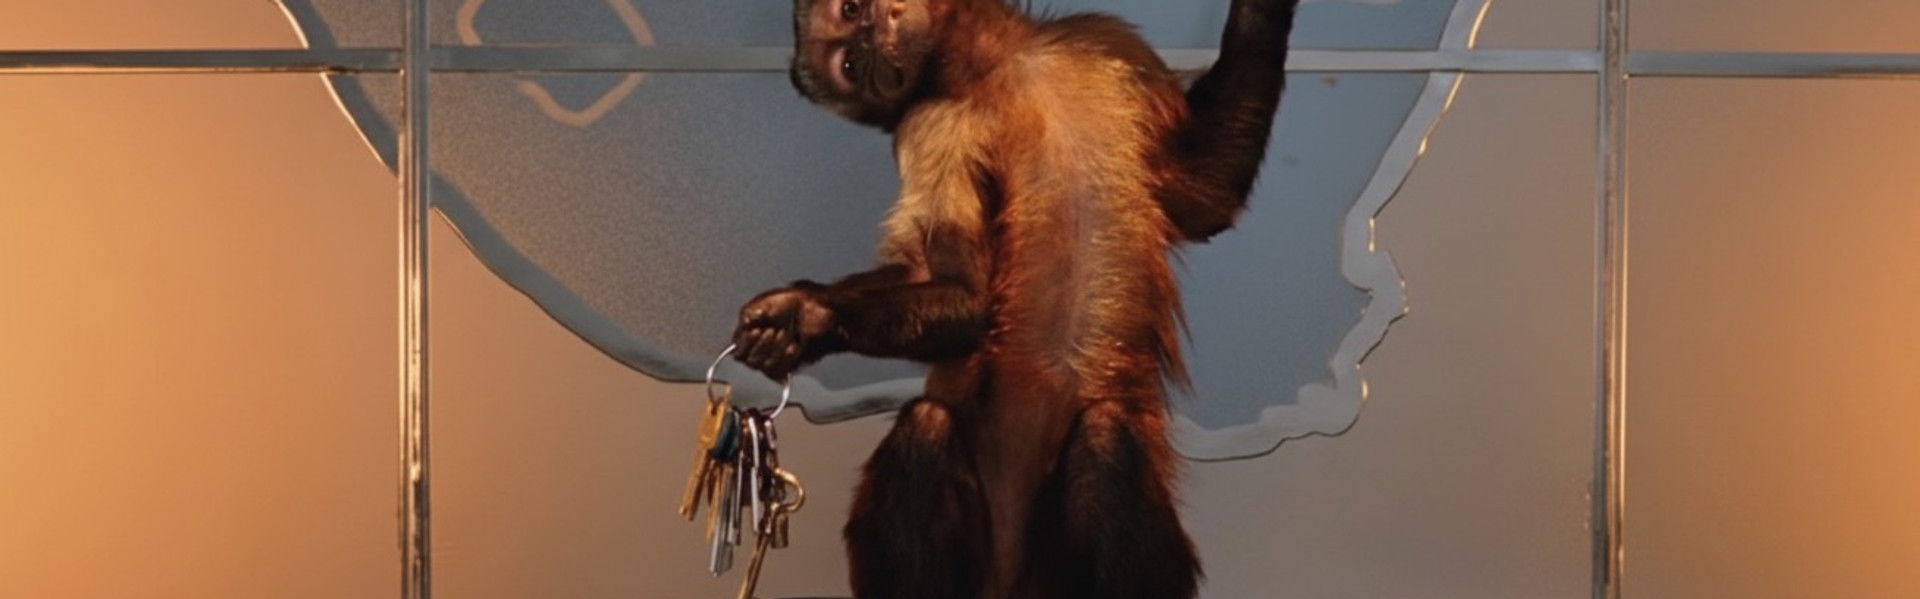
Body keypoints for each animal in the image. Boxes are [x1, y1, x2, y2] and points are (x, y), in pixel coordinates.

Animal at [731, 0, 1299, 597]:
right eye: (849, 65)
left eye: (853, 11)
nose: (868, 45)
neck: (1000, 67)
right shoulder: (928, 127)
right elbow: (965, 296)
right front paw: (809, 317)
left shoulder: (1110, 41)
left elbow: (1207, 195)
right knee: (926, 426)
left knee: (1105, 436)